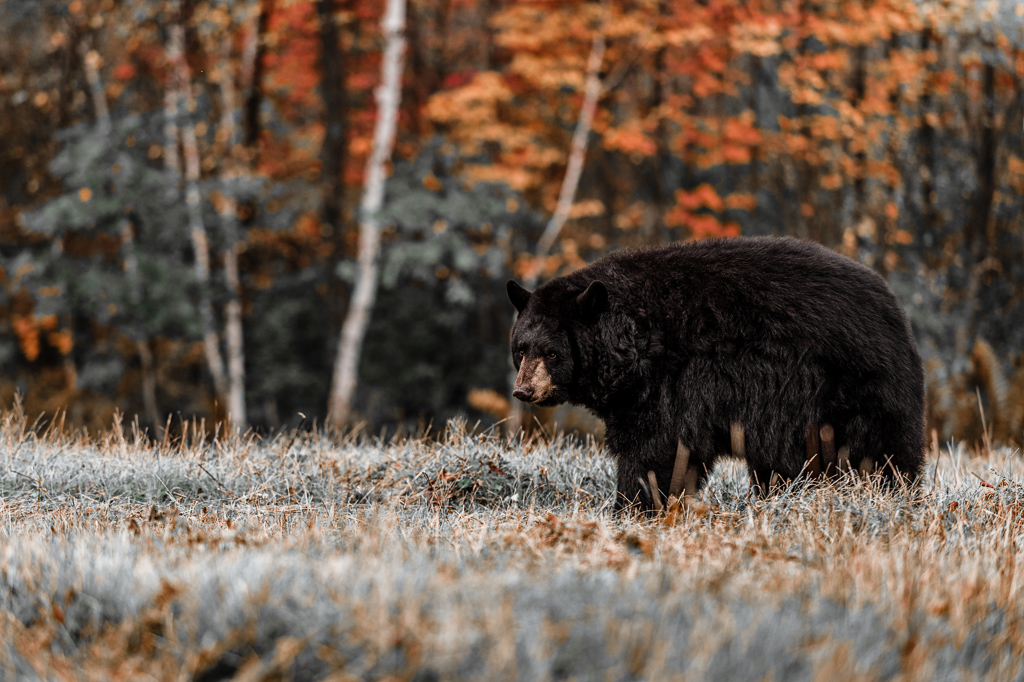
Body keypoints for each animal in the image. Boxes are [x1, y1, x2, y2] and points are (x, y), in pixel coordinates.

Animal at [507, 236, 925, 507]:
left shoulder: (671, 382)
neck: (634, 343)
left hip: (852, 387)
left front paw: (633, 505)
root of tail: (896, 312)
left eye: (552, 352)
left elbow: (656, 448)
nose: (523, 391)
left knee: (882, 450)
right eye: (520, 348)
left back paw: (896, 494)